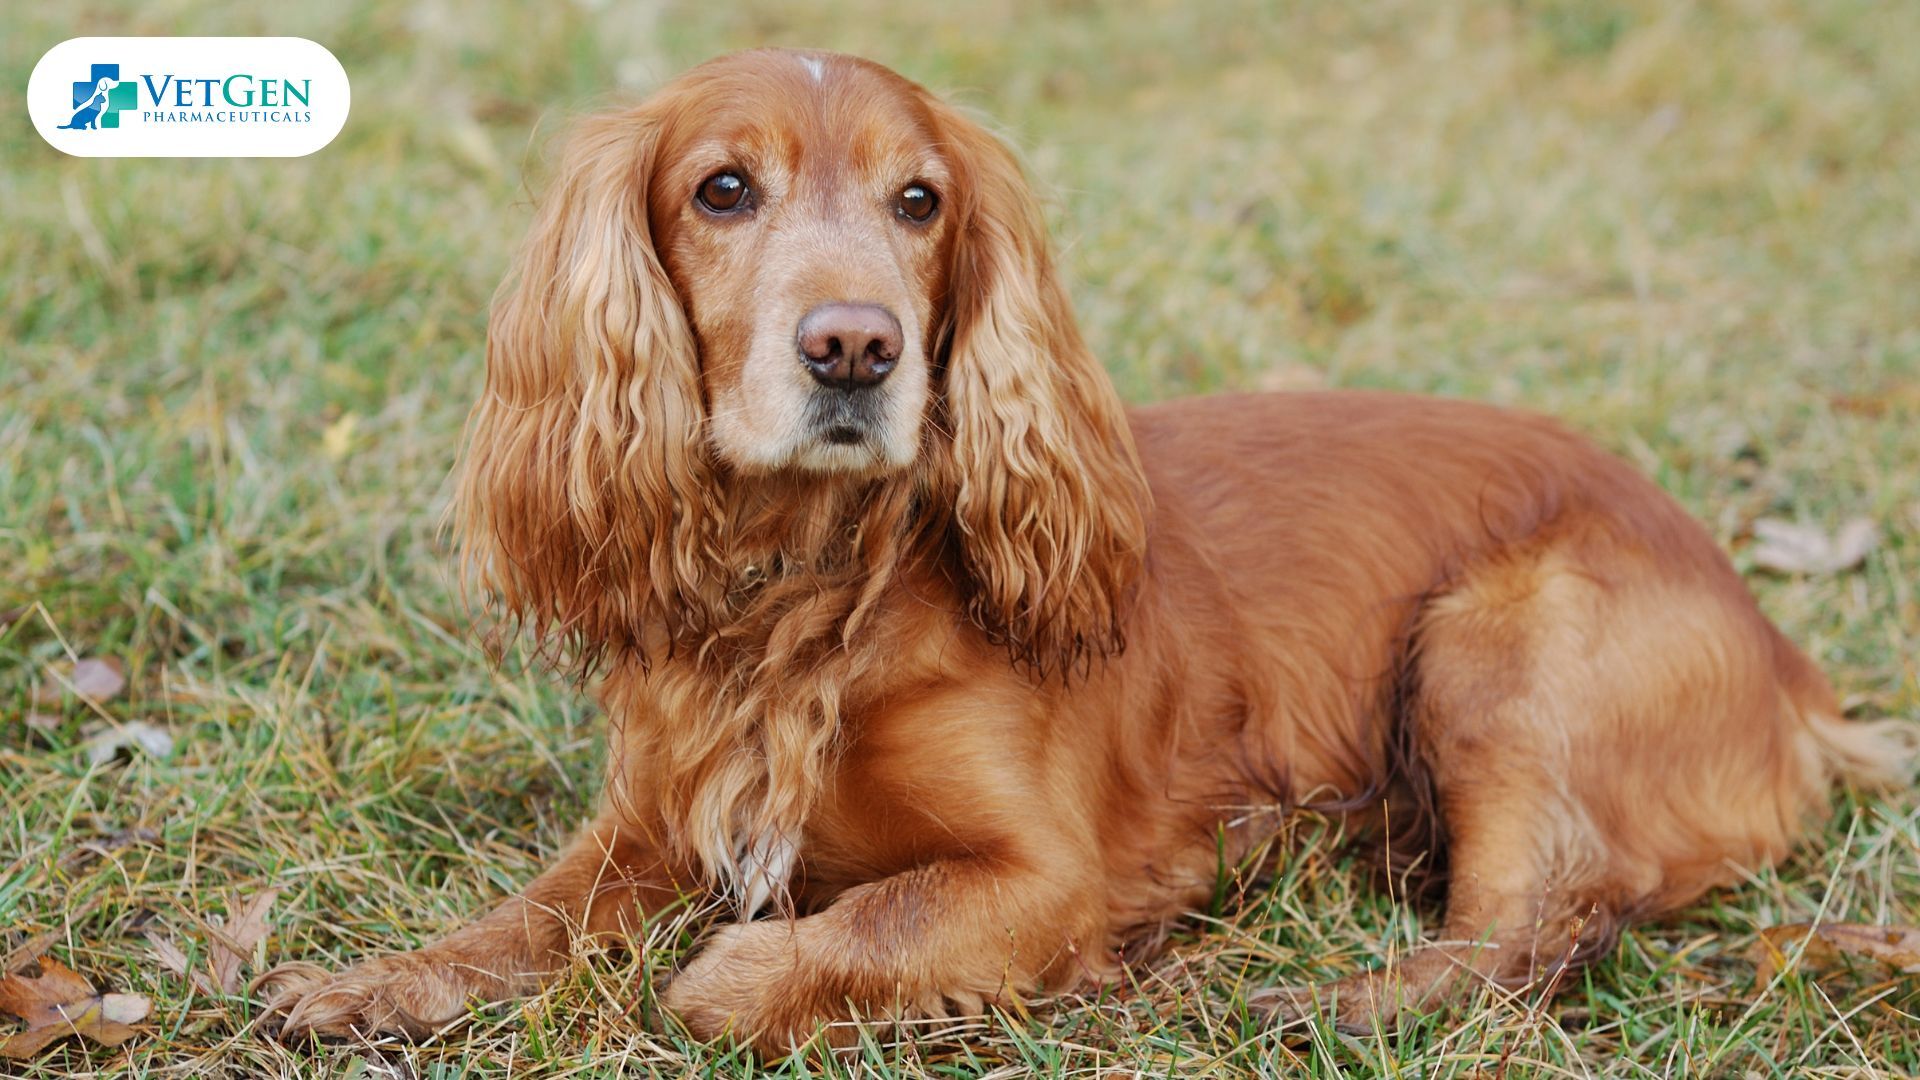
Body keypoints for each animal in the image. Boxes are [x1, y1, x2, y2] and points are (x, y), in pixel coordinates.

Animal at [259, 46, 1920, 1045]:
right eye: (721, 189)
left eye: (918, 199)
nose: (855, 347)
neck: (809, 592)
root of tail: (1793, 669)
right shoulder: (650, 822)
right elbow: (518, 922)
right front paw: (367, 983)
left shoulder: (1045, 875)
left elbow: (835, 933)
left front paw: (735, 970)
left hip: (1497, 639)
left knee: (1544, 924)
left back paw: (1319, 993)